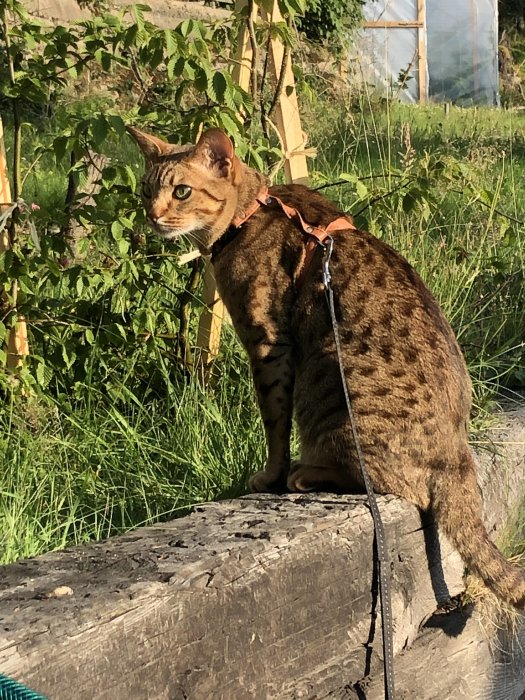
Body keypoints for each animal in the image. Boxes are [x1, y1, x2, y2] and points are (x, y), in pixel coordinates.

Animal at [127, 124, 524, 608]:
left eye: (181, 191)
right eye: (145, 190)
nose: (152, 216)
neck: (248, 213)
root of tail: (459, 455)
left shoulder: (268, 343)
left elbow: (274, 425)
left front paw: (270, 476)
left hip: (328, 387)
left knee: (389, 481)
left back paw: (306, 472)